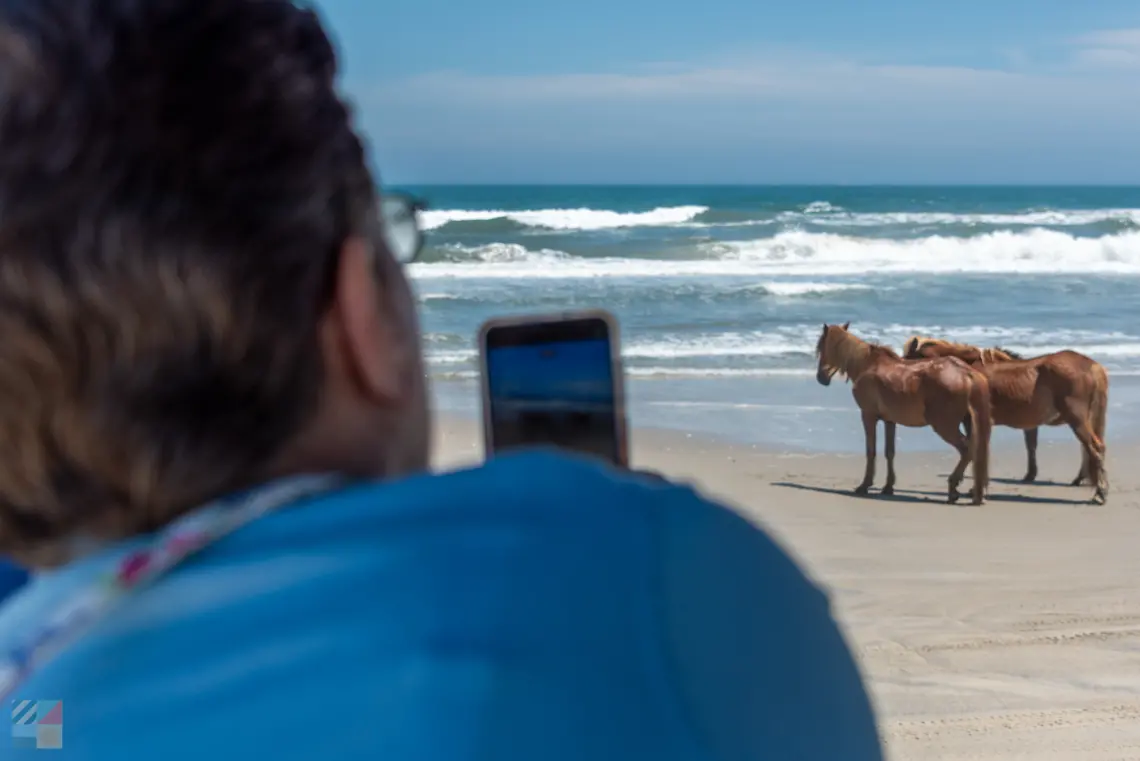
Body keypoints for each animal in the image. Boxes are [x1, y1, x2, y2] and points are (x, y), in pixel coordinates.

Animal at [815, 323, 991, 505]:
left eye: (821, 347)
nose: (821, 377)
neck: (868, 365)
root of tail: (966, 373)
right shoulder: (889, 420)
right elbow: (889, 452)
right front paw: (888, 487)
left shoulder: (868, 416)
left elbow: (871, 451)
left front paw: (865, 485)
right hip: (968, 422)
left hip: (945, 426)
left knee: (967, 450)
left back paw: (953, 488)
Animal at [902, 336, 1108, 504]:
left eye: (909, 359)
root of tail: (1093, 366)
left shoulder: (972, 421)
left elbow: (976, 450)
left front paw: (976, 489)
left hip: (1077, 420)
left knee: (1095, 448)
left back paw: (1100, 493)